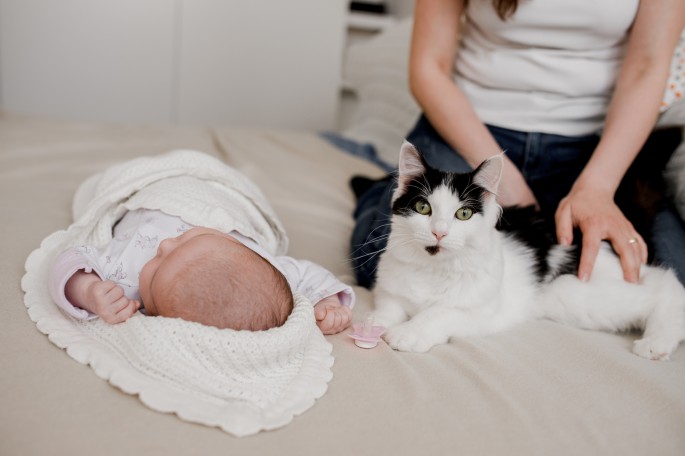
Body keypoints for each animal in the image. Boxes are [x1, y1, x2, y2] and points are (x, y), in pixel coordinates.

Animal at [372, 141, 684, 358]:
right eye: (423, 207)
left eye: (463, 214)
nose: (439, 231)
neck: (432, 270)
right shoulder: (389, 291)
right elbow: (388, 308)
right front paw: (374, 324)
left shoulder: (481, 309)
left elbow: (437, 313)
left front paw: (407, 334)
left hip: (575, 293)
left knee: (666, 286)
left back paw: (655, 343)